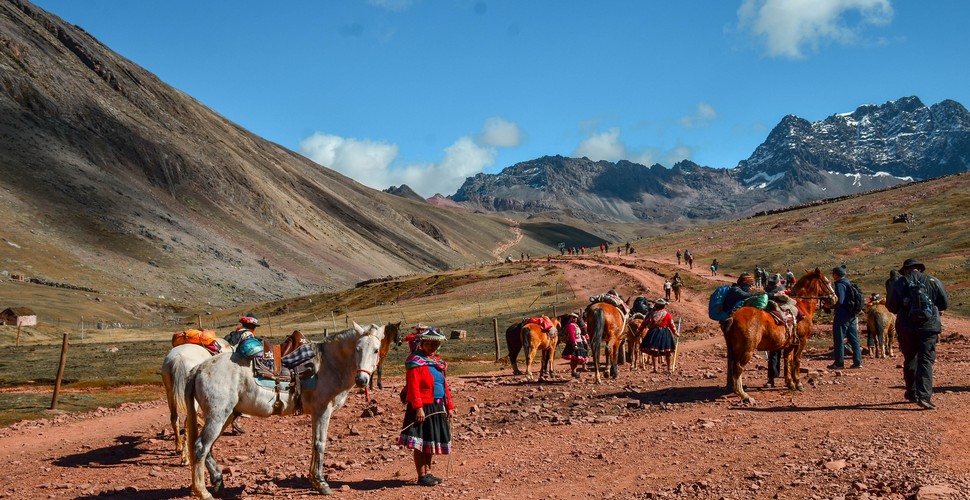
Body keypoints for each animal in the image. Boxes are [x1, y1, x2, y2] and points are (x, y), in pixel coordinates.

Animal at [162, 338, 233, 466]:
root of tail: (178, 359)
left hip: (169, 390)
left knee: (174, 417)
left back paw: (178, 448)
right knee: (188, 420)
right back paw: (185, 458)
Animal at [187, 322, 384, 498]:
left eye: (376, 350)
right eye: (357, 349)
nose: (361, 380)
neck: (328, 364)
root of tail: (199, 368)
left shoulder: (316, 413)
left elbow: (314, 443)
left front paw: (314, 479)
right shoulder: (322, 411)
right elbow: (320, 444)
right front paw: (322, 483)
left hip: (226, 416)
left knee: (208, 447)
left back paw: (218, 482)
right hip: (218, 415)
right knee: (201, 447)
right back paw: (203, 492)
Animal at [724, 270, 836, 402]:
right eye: (827, 281)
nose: (835, 298)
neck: (802, 305)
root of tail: (733, 317)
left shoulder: (790, 344)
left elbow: (788, 360)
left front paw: (790, 383)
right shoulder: (802, 340)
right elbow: (797, 360)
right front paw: (798, 384)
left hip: (736, 350)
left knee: (734, 367)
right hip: (747, 350)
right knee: (739, 368)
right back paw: (744, 394)